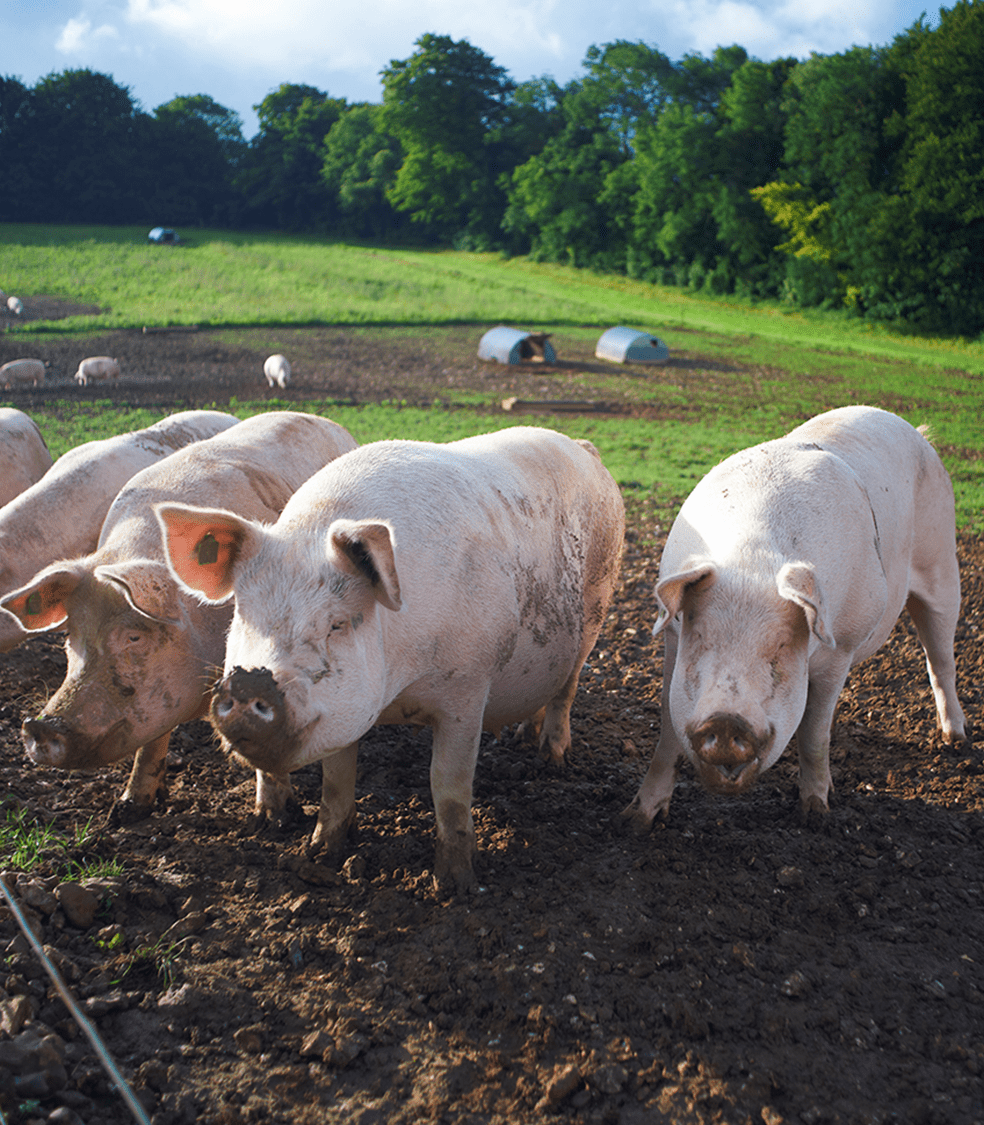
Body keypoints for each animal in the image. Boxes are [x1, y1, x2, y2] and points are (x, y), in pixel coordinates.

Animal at [156, 427, 626, 892]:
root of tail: (583, 448)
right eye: (243, 613)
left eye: (337, 624)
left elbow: (448, 783)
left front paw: (454, 886)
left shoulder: (469, 687)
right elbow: (336, 779)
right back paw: (522, 739)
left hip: (597, 610)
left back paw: (553, 758)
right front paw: (321, 854)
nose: (251, 681)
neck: (399, 689)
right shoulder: (347, 709)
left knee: (567, 689)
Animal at [622, 405, 969, 833]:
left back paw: (956, 740)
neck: (750, 562)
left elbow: (814, 735)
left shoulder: (842, 647)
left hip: (943, 563)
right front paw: (636, 820)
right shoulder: (671, 638)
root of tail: (915, 430)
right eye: (700, 637)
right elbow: (668, 734)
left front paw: (816, 814)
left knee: (941, 658)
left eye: (781, 647)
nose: (726, 723)